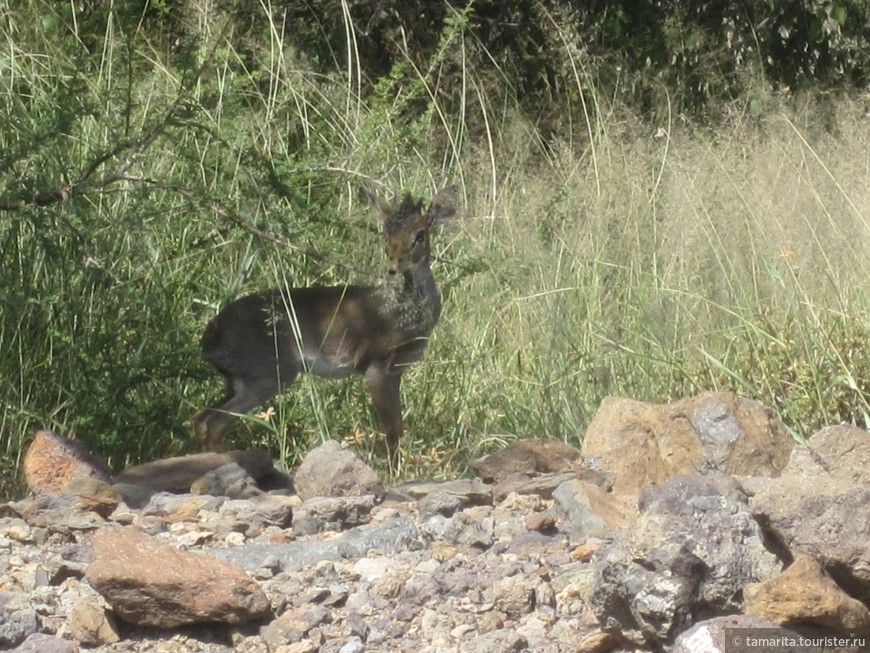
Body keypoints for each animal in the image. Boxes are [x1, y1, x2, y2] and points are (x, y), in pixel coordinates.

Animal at [193, 186, 460, 466]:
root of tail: (211, 335)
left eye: (420, 234)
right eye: (387, 231)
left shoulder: (396, 372)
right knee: (213, 422)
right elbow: (392, 431)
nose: (394, 265)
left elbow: (397, 426)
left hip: (238, 381)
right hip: (265, 376)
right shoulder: (376, 368)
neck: (407, 310)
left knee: (202, 418)